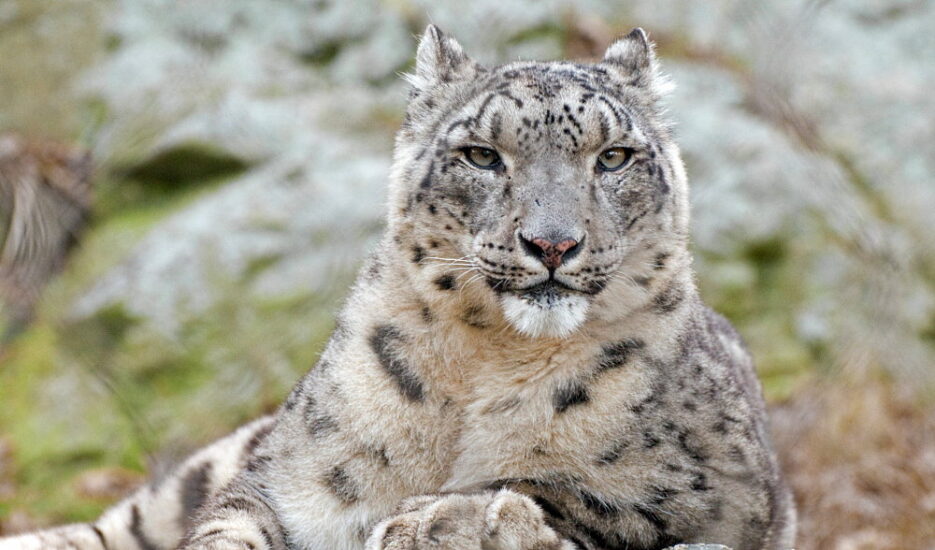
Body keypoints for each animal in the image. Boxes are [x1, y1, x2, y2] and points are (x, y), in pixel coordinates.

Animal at [0, 24, 796, 550]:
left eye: (614, 156)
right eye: (482, 155)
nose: (552, 244)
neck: (491, 361)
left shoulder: (720, 489)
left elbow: (579, 493)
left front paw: (442, 519)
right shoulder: (283, 480)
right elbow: (230, 522)